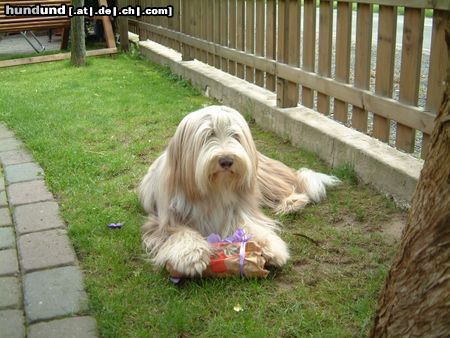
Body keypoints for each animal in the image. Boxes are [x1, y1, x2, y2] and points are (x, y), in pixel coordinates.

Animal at [137, 105, 338, 278]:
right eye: (208, 135)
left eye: (235, 135)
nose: (226, 160)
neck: (215, 189)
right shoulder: (163, 221)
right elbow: (180, 232)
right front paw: (192, 255)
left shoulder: (239, 210)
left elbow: (253, 226)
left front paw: (271, 247)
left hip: (262, 178)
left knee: (289, 185)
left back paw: (293, 202)